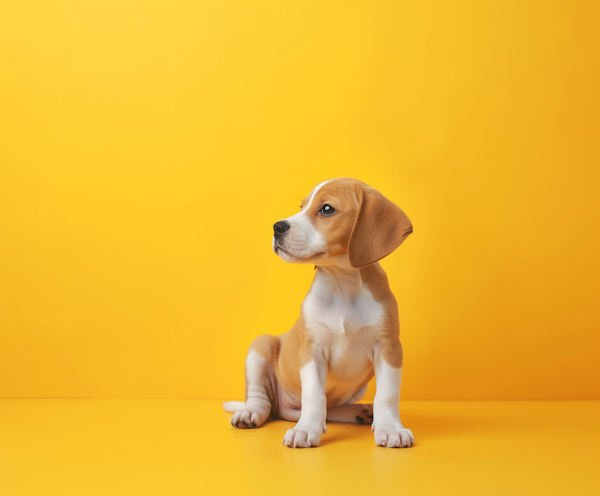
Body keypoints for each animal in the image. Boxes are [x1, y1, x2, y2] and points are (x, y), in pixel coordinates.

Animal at [223, 178, 414, 450]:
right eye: (301, 206)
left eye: (326, 209)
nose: (277, 227)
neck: (343, 285)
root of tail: (284, 408)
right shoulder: (311, 352)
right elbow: (314, 395)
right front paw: (305, 430)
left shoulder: (389, 349)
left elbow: (386, 394)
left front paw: (390, 428)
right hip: (260, 346)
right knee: (262, 401)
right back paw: (250, 414)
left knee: (330, 406)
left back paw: (359, 412)